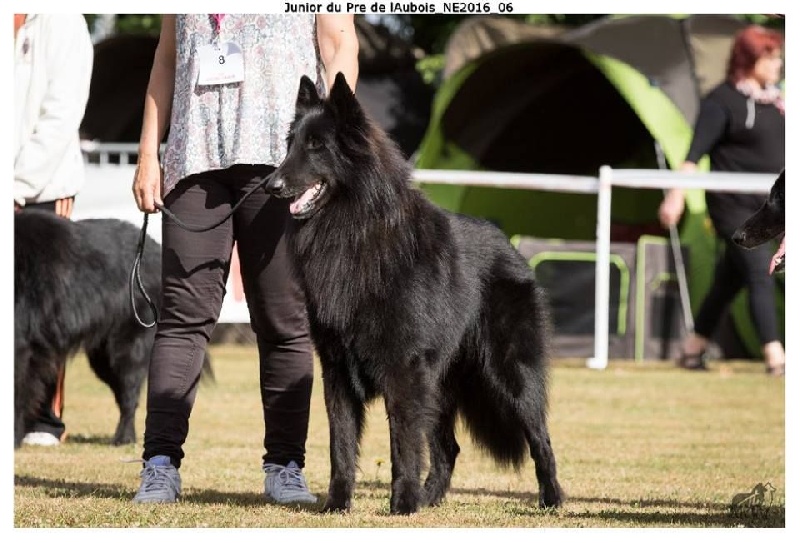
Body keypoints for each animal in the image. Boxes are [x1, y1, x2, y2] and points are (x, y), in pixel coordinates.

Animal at [14, 210, 212, 448]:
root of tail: (155, 249)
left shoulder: (21, 348)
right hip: (103, 358)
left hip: (125, 349)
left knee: (129, 396)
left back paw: (123, 439)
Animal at [267, 73, 563, 514]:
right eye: (291, 144)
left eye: (317, 146)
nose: (271, 185)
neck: (353, 231)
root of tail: (511, 248)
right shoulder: (337, 370)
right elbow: (341, 447)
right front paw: (338, 503)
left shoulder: (403, 370)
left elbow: (403, 445)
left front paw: (402, 503)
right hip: (439, 386)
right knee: (448, 449)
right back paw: (430, 499)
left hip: (510, 375)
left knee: (540, 438)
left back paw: (551, 498)